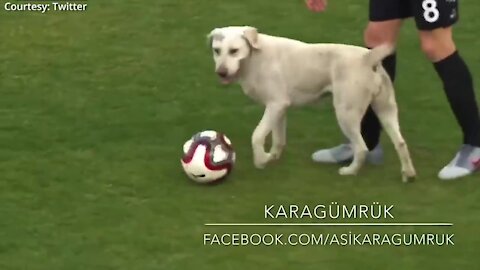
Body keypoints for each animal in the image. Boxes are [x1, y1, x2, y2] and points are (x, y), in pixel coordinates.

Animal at [208, 25, 414, 181]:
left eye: (234, 51)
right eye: (217, 51)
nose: (221, 73)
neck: (255, 57)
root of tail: (367, 58)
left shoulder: (275, 105)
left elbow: (257, 135)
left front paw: (261, 160)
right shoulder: (280, 107)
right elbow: (278, 138)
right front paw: (272, 157)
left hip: (346, 114)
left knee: (362, 148)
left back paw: (349, 171)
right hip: (386, 110)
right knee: (401, 142)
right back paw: (408, 174)